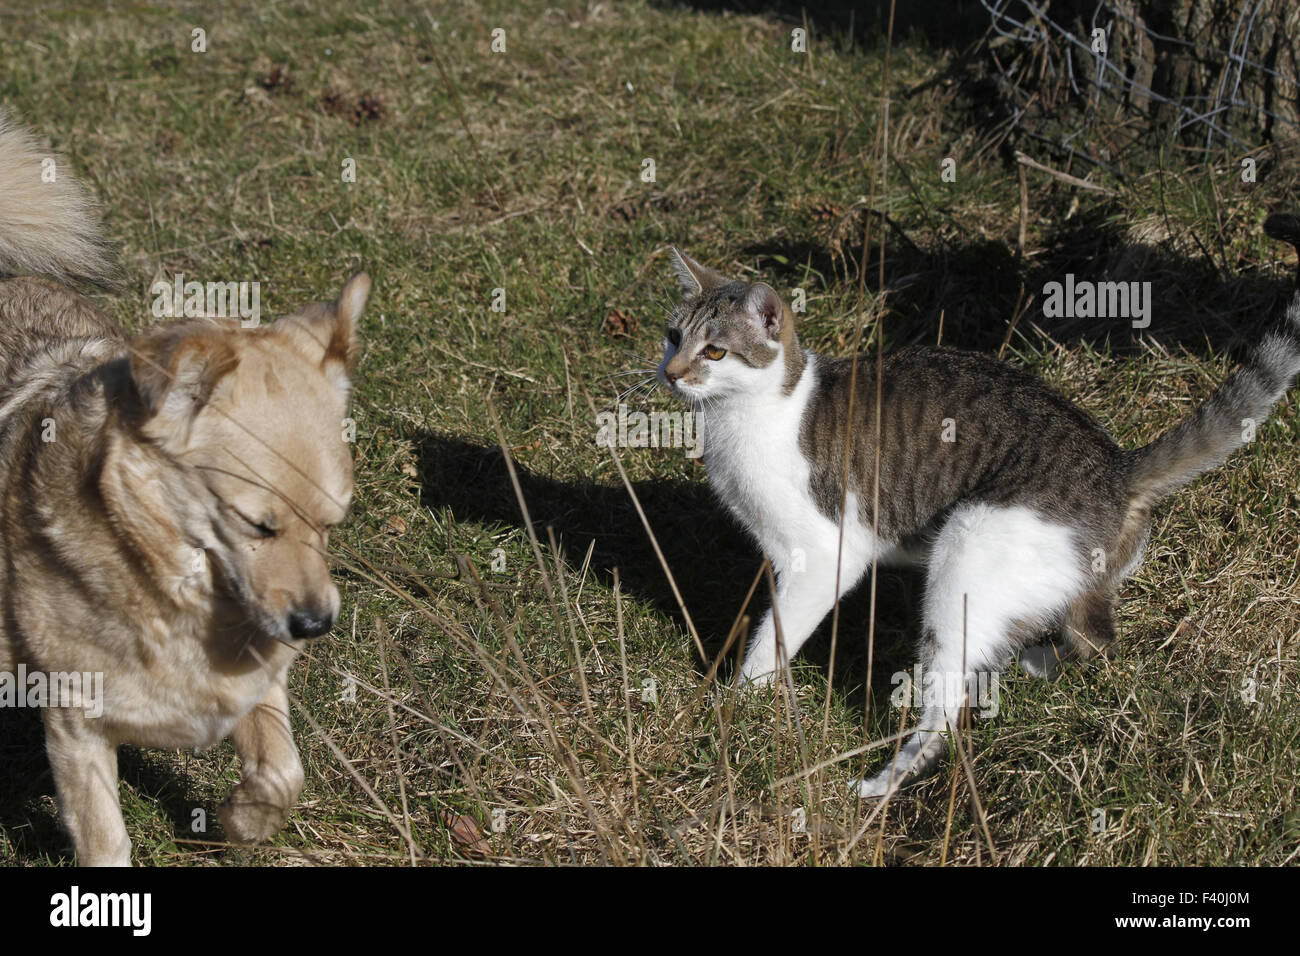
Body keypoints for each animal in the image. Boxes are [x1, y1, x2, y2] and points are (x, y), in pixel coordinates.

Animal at [1, 113, 366, 868]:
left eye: (333, 525)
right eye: (258, 525)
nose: (317, 625)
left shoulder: (257, 677)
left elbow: (283, 771)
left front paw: (240, 820)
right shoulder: (75, 726)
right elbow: (104, 842)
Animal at [655, 234, 1300, 801]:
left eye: (715, 352)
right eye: (672, 337)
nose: (670, 373)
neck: (751, 413)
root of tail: (1117, 466)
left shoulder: (824, 553)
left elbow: (774, 636)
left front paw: (738, 706)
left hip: (966, 555)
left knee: (947, 710)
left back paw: (881, 784)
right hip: (1063, 582)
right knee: (1097, 643)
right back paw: (1035, 661)